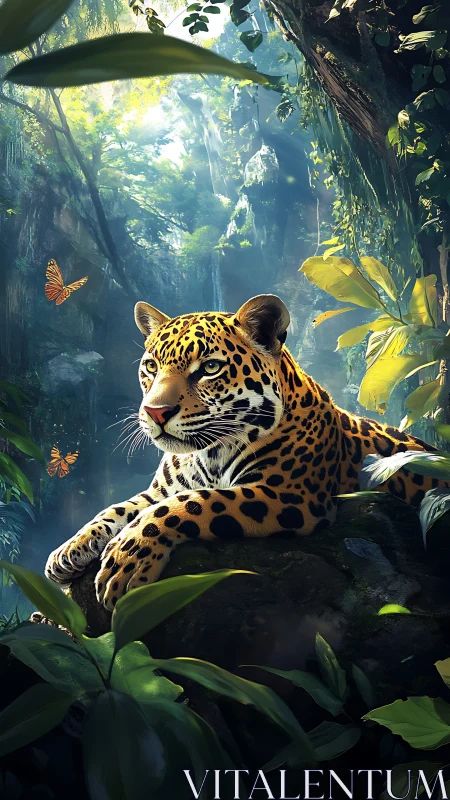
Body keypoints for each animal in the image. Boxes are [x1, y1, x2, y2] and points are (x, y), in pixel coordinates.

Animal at [45, 294, 440, 610]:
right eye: (151, 367)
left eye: (209, 368)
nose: (155, 412)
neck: (207, 453)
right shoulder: (160, 490)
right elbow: (119, 507)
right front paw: (68, 551)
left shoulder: (289, 495)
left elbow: (194, 503)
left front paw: (126, 558)